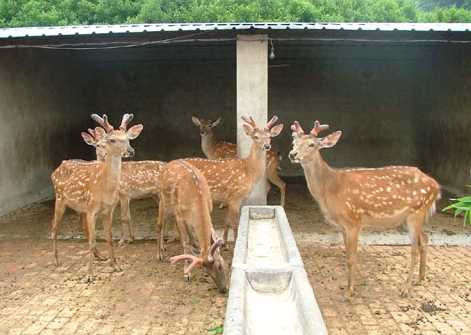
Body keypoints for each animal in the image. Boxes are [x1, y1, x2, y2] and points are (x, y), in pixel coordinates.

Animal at [51, 114, 143, 282]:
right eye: (112, 139)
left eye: (128, 138)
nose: (131, 151)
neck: (104, 188)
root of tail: (57, 168)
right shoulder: (91, 209)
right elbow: (93, 239)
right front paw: (89, 275)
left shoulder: (109, 209)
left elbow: (109, 237)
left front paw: (115, 265)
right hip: (60, 198)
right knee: (55, 227)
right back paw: (57, 261)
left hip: (79, 207)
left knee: (82, 229)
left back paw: (99, 256)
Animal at [158, 160, 228, 294]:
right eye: (207, 272)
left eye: (220, 265)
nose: (223, 289)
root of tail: (168, 164)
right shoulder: (180, 216)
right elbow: (185, 243)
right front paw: (187, 273)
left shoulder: (209, 208)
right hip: (163, 200)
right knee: (160, 224)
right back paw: (160, 254)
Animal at [184, 117, 284, 245]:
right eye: (255, 136)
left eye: (269, 136)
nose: (267, 146)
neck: (248, 170)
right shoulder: (234, 196)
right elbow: (235, 223)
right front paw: (233, 242)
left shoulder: (234, 198)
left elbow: (228, 221)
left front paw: (225, 242)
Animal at [290, 119, 440, 298]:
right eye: (293, 142)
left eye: (311, 144)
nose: (292, 154)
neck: (330, 188)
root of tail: (436, 186)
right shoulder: (342, 226)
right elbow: (347, 255)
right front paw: (349, 286)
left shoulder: (354, 220)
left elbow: (351, 259)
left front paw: (349, 292)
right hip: (414, 215)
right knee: (425, 239)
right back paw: (421, 278)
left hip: (417, 211)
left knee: (414, 249)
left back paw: (406, 288)